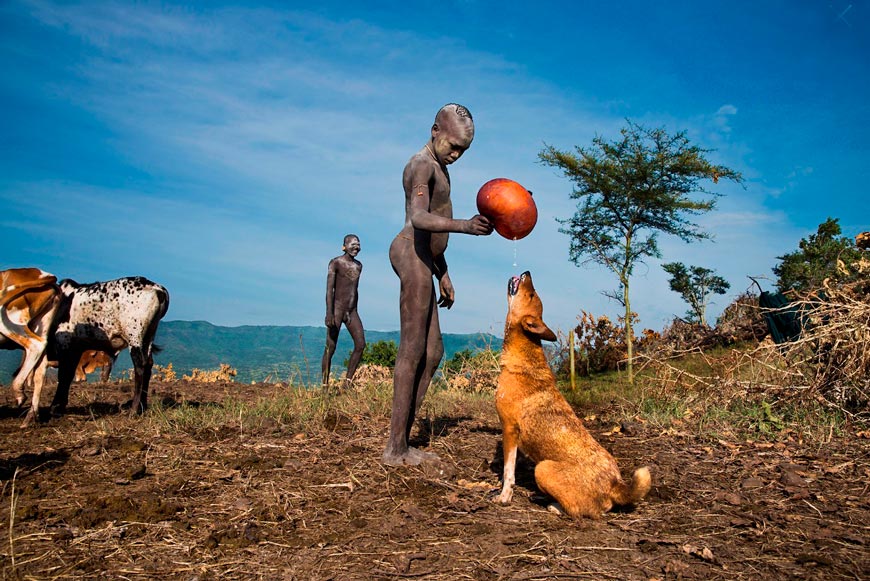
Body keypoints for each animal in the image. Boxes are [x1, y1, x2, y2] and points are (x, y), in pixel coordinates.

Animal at [51, 276, 170, 416]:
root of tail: (158, 289)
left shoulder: (64, 342)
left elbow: (63, 375)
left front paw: (55, 407)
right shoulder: (75, 348)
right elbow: (68, 374)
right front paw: (60, 406)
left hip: (135, 337)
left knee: (140, 366)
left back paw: (134, 410)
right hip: (149, 336)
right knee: (149, 365)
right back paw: (143, 406)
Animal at [498, 274, 656, 520]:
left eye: (531, 294)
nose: (527, 272)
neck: (525, 352)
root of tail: (615, 485)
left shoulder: (509, 429)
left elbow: (508, 472)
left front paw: (505, 496)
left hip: (542, 468)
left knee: (579, 510)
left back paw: (552, 505)